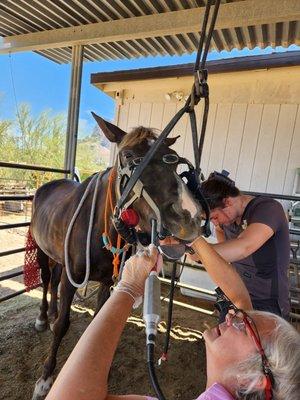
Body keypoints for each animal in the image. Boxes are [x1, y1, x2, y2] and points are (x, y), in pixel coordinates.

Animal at [30, 114, 203, 398]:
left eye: (173, 158)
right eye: (128, 154)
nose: (187, 216)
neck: (100, 228)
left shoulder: (106, 282)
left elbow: (96, 323)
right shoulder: (72, 278)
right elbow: (63, 325)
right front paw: (45, 377)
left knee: (53, 280)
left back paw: (52, 312)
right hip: (41, 251)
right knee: (46, 280)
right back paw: (44, 317)